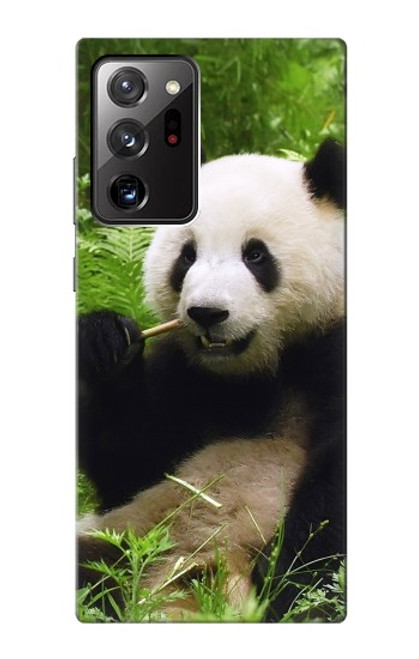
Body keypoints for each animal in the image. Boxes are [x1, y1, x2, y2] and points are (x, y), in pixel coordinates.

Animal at [77, 139, 346, 621]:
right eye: (187, 256)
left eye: (255, 255)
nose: (207, 313)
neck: (260, 371)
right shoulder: (187, 376)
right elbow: (132, 465)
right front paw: (105, 342)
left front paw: (288, 585)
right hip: (132, 535)